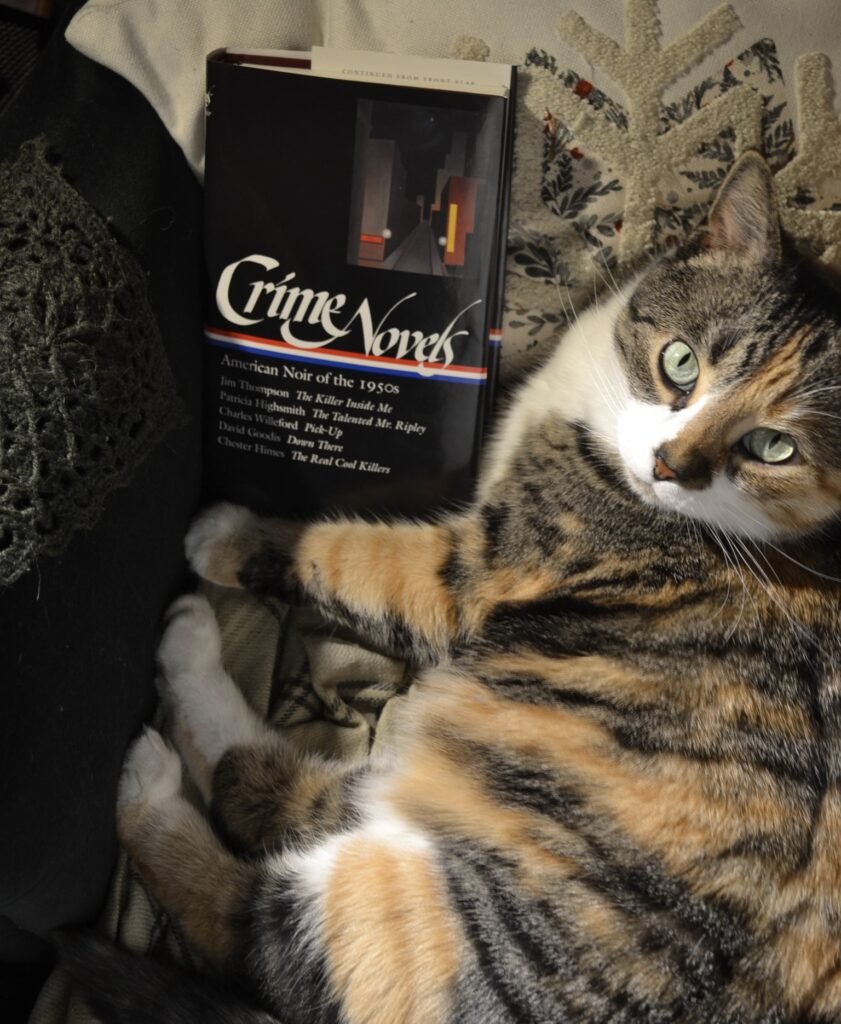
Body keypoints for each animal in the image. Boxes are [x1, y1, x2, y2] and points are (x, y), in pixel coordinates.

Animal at [65, 151, 839, 1024]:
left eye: (772, 446)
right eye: (681, 361)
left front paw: (230, 534)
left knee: (253, 882)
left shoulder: (482, 564)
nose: (670, 465)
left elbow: (344, 553)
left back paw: (163, 737)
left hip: (465, 914)